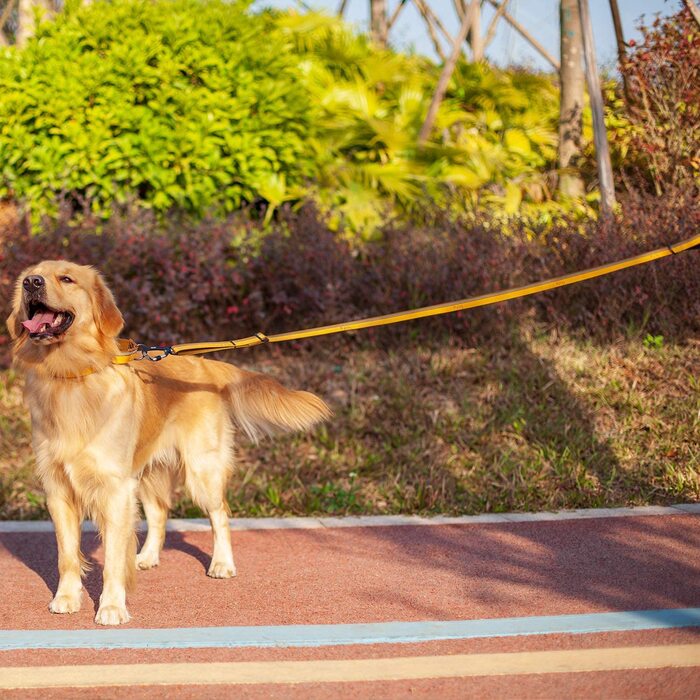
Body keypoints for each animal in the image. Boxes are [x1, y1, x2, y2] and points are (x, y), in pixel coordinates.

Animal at [6, 260, 330, 628]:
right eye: (28, 277)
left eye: (66, 278)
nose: (32, 283)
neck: (73, 375)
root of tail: (207, 364)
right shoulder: (59, 488)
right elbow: (67, 555)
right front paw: (67, 597)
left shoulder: (115, 488)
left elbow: (113, 559)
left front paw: (112, 606)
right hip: (147, 470)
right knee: (160, 511)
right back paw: (147, 556)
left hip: (201, 468)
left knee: (220, 513)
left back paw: (222, 563)